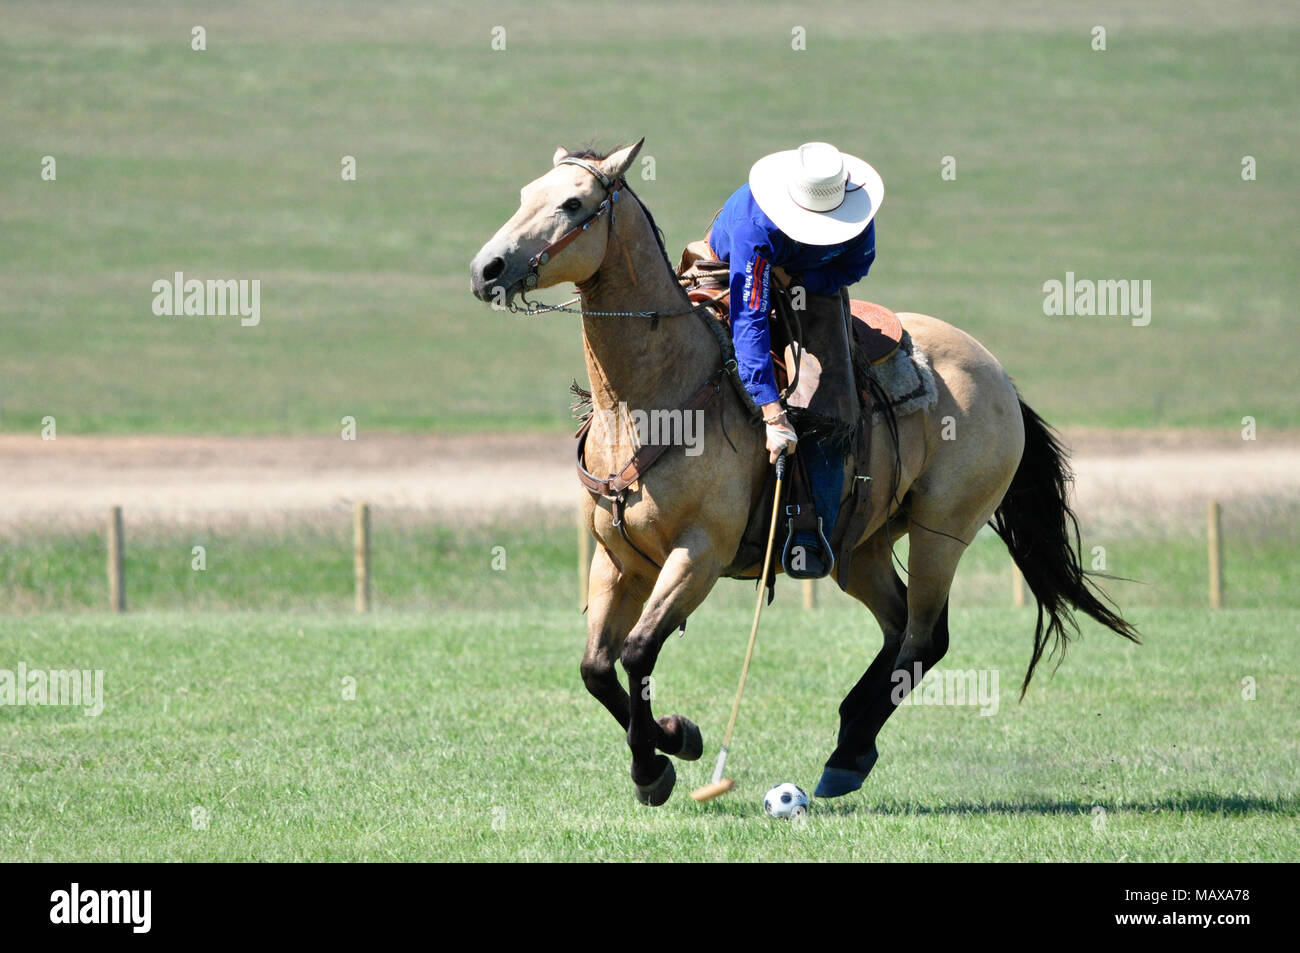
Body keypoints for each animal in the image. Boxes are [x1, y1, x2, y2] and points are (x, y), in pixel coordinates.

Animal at [470, 139, 1138, 800]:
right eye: (527, 194)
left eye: (574, 203)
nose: (487, 270)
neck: (654, 398)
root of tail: (997, 373)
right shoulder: (617, 559)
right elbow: (596, 668)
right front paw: (672, 744)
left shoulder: (698, 555)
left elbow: (636, 654)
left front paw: (657, 762)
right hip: (861, 544)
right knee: (899, 626)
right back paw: (851, 742)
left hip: (942, 531)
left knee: (926, 635)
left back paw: (846, 752)